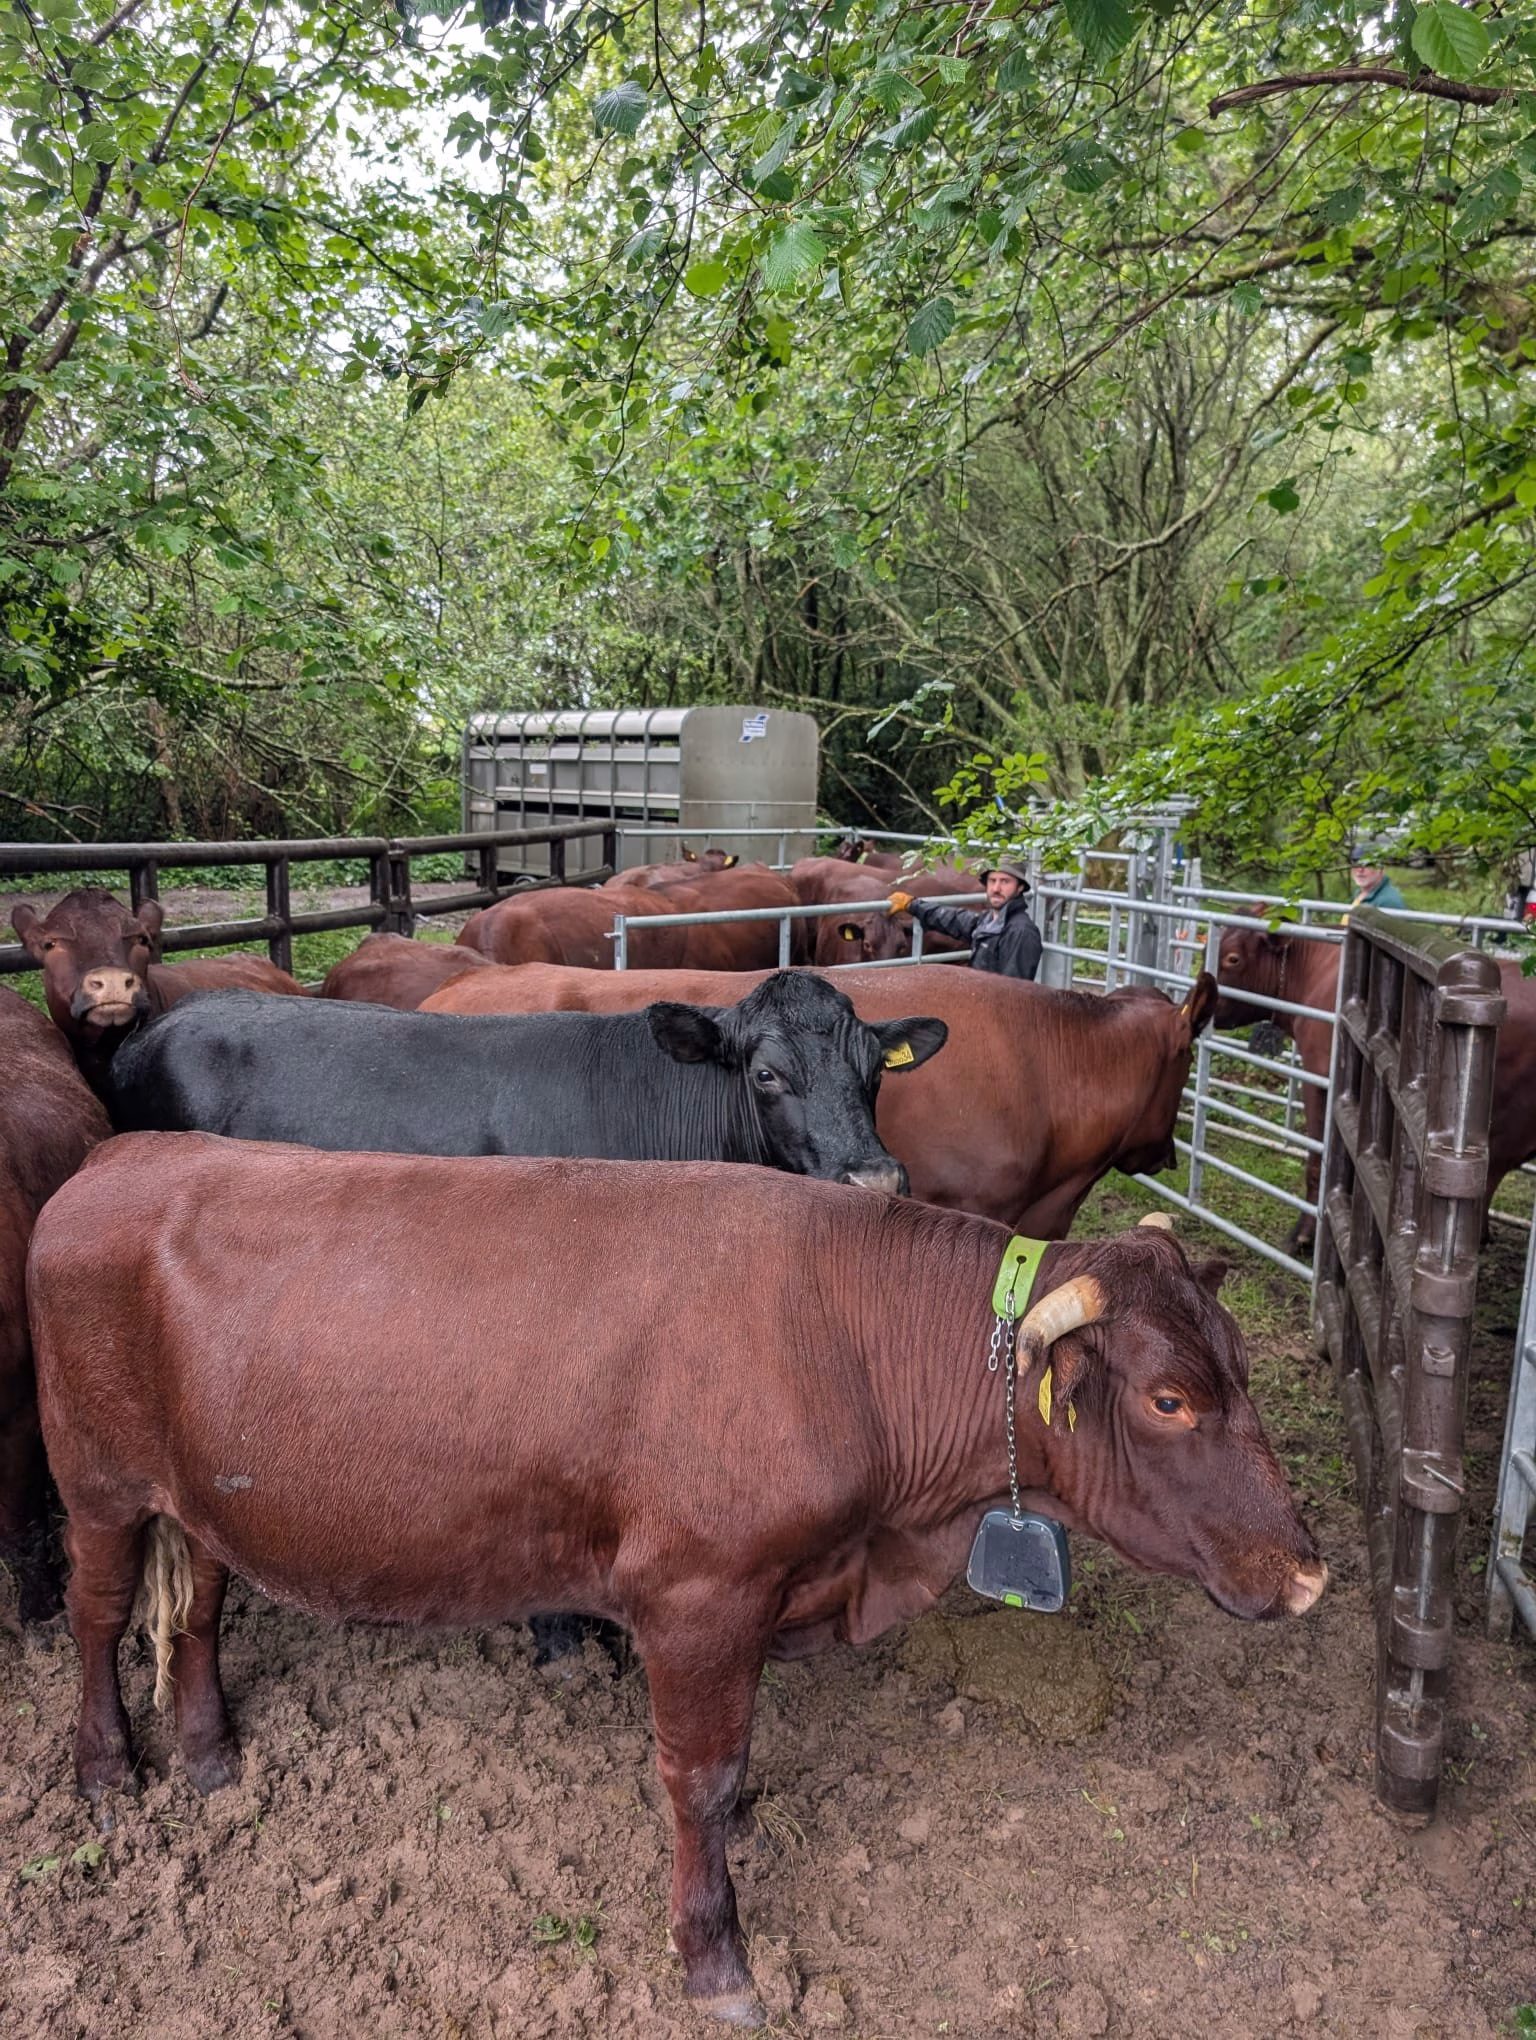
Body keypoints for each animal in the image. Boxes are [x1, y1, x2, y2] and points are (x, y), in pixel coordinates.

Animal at [32, 1142, 1325, 2022]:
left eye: (1241, 1367)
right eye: (1170, 1398)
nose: (1310, 1572)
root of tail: (126, 1154)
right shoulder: (699, 1594)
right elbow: (700, 1776)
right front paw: (715, 1954)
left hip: (200, 1496)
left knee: (197, 1608)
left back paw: (210, 1758)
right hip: (94, 1482)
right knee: (99, 1616)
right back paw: (107, 1772)